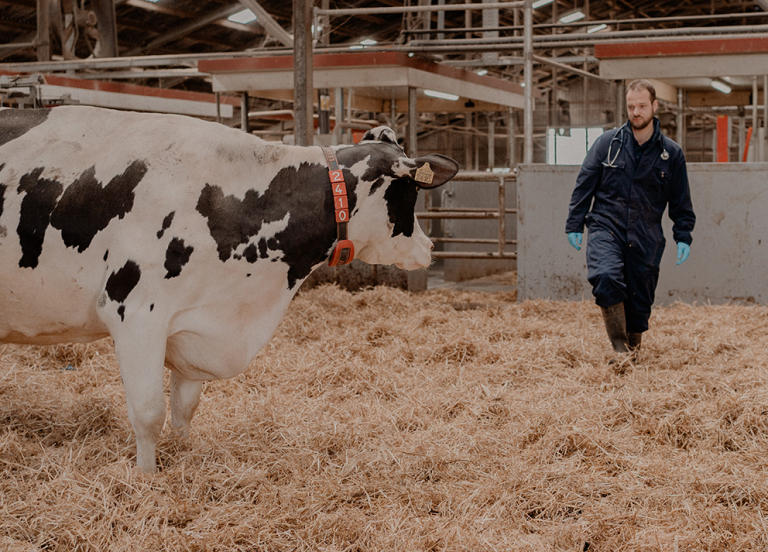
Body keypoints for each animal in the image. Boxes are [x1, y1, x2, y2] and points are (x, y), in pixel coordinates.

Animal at [0, 105, 456, 472]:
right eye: (411, 193)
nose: (430, 247)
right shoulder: (135, 313)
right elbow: (148, 413)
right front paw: (146, 480)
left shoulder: (194, 325)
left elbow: (184, 410)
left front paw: (185, 457)